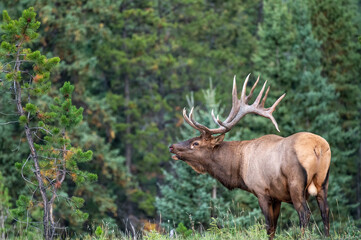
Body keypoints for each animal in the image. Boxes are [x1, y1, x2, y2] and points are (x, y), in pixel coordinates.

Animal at [169, 74, 330, 239]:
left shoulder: (262, 192)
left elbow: (269, 226)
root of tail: (318, 146)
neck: (239, 168)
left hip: (296, 183)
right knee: (325, 212)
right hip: (323, 182)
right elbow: (274, 227)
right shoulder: (276, 197)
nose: (172, 146)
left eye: (195, 143)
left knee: (304, 213)